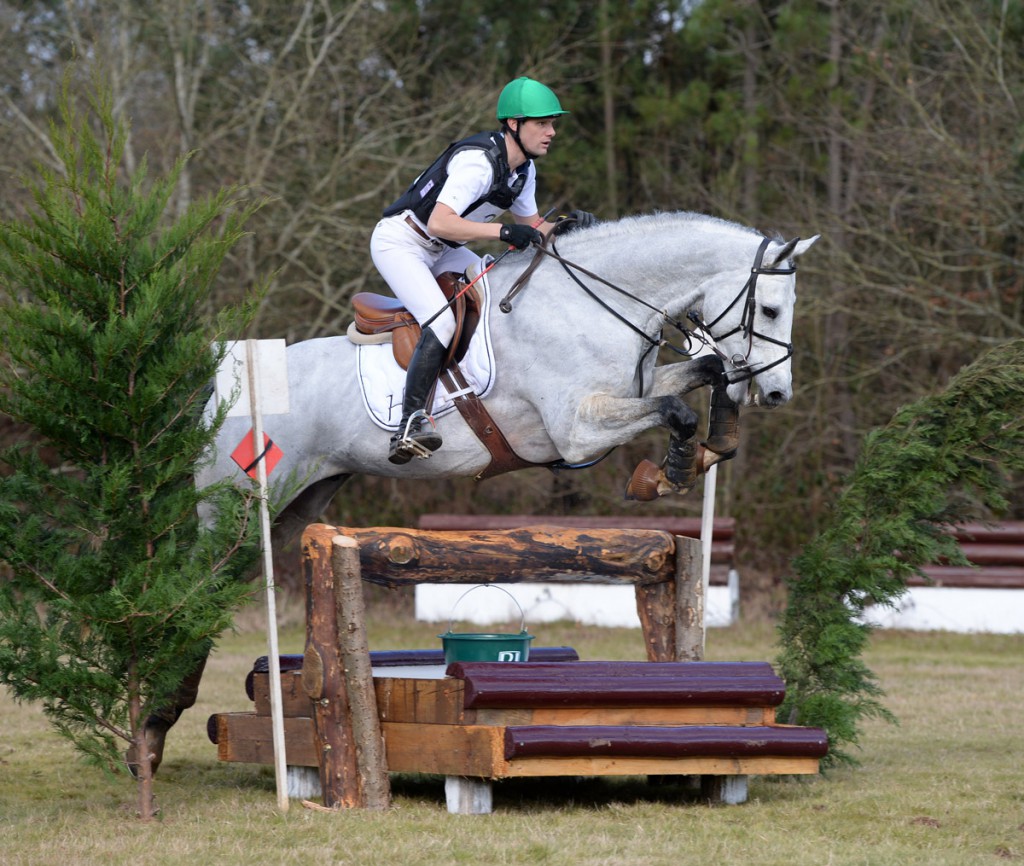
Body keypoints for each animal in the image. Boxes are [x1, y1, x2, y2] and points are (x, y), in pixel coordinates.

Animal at [134, 209, 815, 773]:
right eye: (771, 310)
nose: (778, 393)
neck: (592, 306)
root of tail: (225, 391)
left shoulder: (627, 394)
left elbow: (704, 371)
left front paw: (706, 447)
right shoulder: (579, 430)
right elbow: (676, 408)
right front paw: (668, 469)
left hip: (295, 506)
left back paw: (156, 723)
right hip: (239, 507)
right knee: (194, 588)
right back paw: (151, 723)